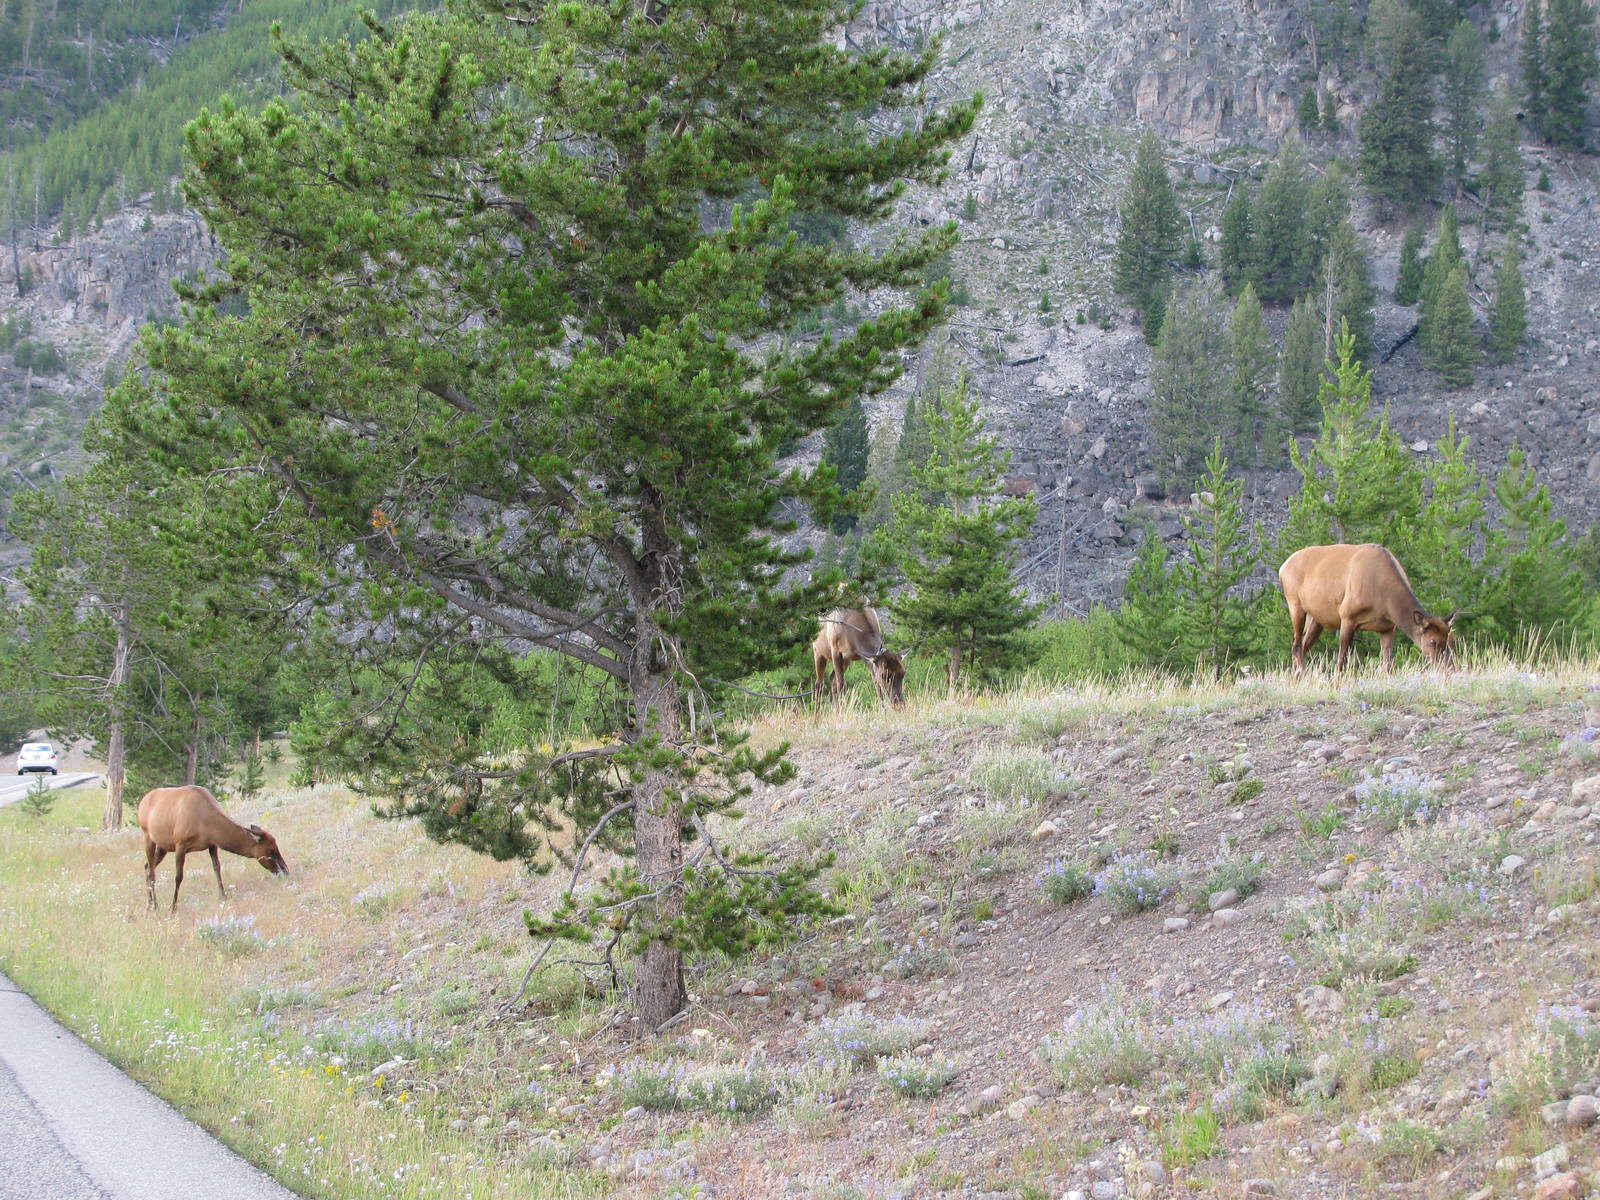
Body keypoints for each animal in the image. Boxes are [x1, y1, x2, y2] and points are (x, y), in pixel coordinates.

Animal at [137, 785, 289, 913]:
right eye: (270, 850)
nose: (286, 871)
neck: (206, 823)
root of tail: (142, 802)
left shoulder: (212, 844)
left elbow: (217, 868)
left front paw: (223, 896)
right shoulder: (180, 844)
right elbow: (178, 876)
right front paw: (173, 907)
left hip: (163, 846)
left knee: (146, 866)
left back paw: (150, 903)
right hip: (147, 836)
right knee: (152, 872)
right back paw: (154, 906)